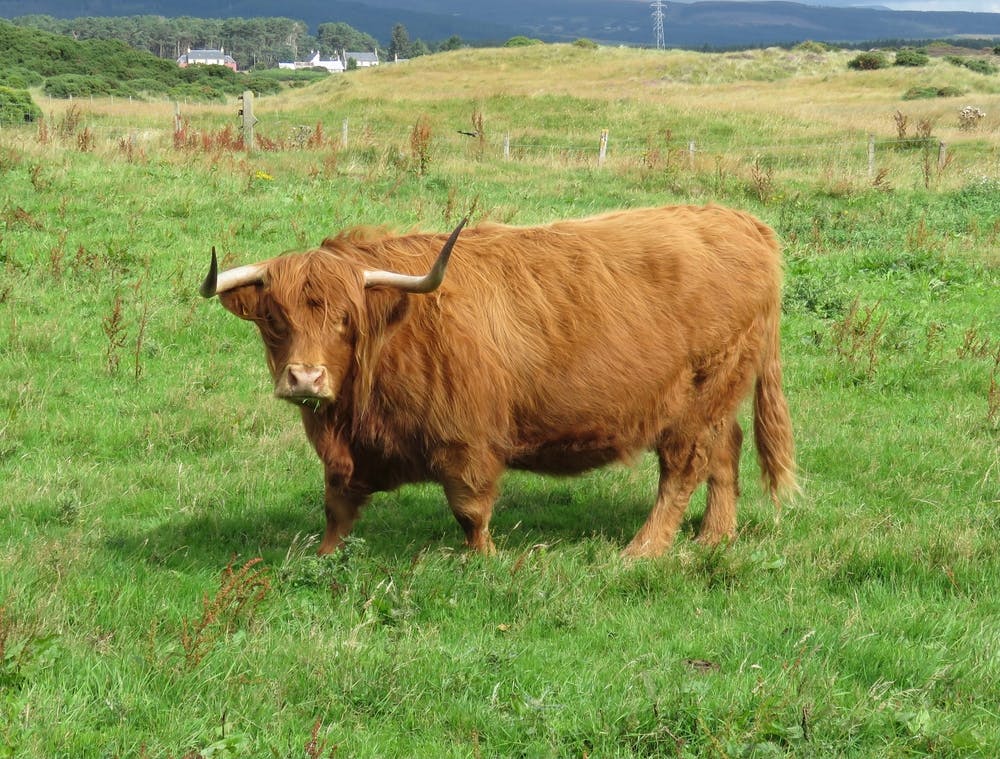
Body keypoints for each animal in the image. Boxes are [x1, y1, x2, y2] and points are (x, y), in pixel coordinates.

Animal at [200, 204, 796, 558]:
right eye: (274, 320)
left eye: (346, 319)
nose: (305, 377)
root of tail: (742, 222)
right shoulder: (349, 452)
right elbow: (336, 504)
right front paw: (323, 559)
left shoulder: (468, 440)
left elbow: (469, 509)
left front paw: (482, 561)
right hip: (719, 395)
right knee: (725, 451)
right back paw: (715, 537)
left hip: (697, 394)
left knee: (684, 468)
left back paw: (641, 552)